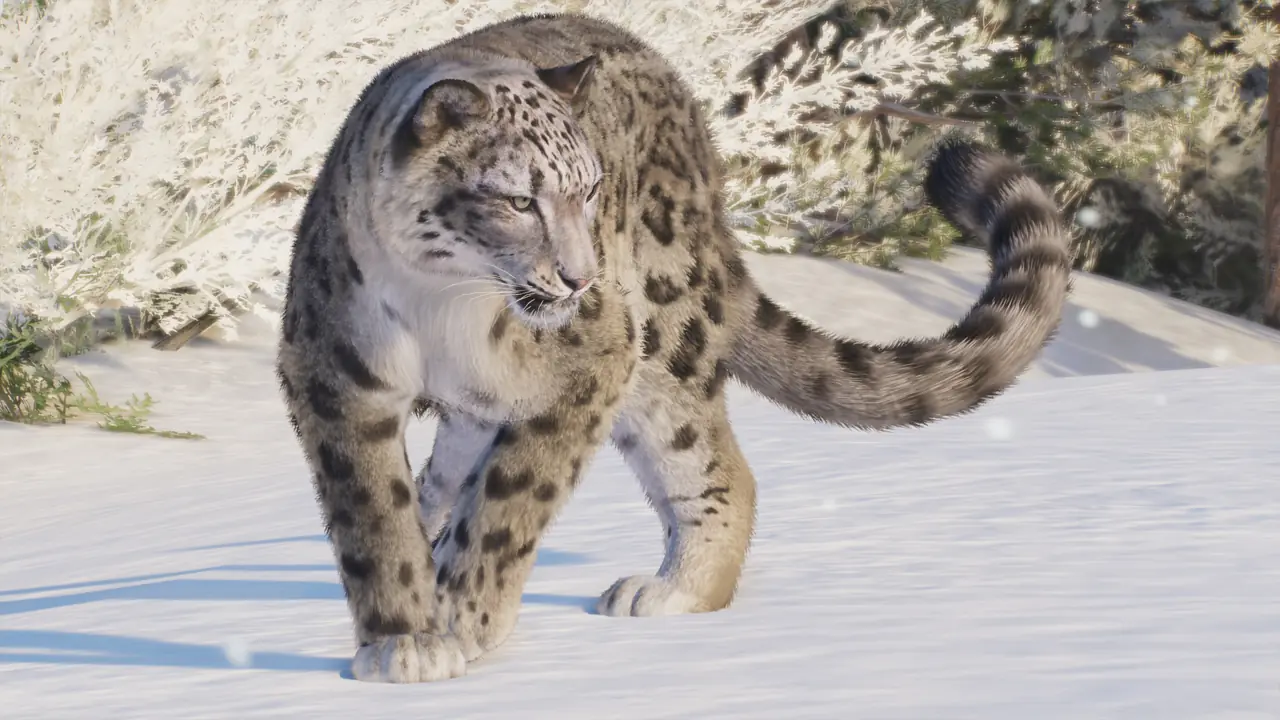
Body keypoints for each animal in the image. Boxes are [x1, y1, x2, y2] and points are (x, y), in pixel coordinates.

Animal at [275, 12, 1072, 683]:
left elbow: (511, 504)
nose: (579, 277)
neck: (443, 303)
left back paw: (668, 592)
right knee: (445, 485)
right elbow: (374, 517)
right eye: (518, 200)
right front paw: (404, 641)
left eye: (588, 189)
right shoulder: (336, 374)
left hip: (661, 342)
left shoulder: (590, 362)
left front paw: (466, 619)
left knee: (717, 465)